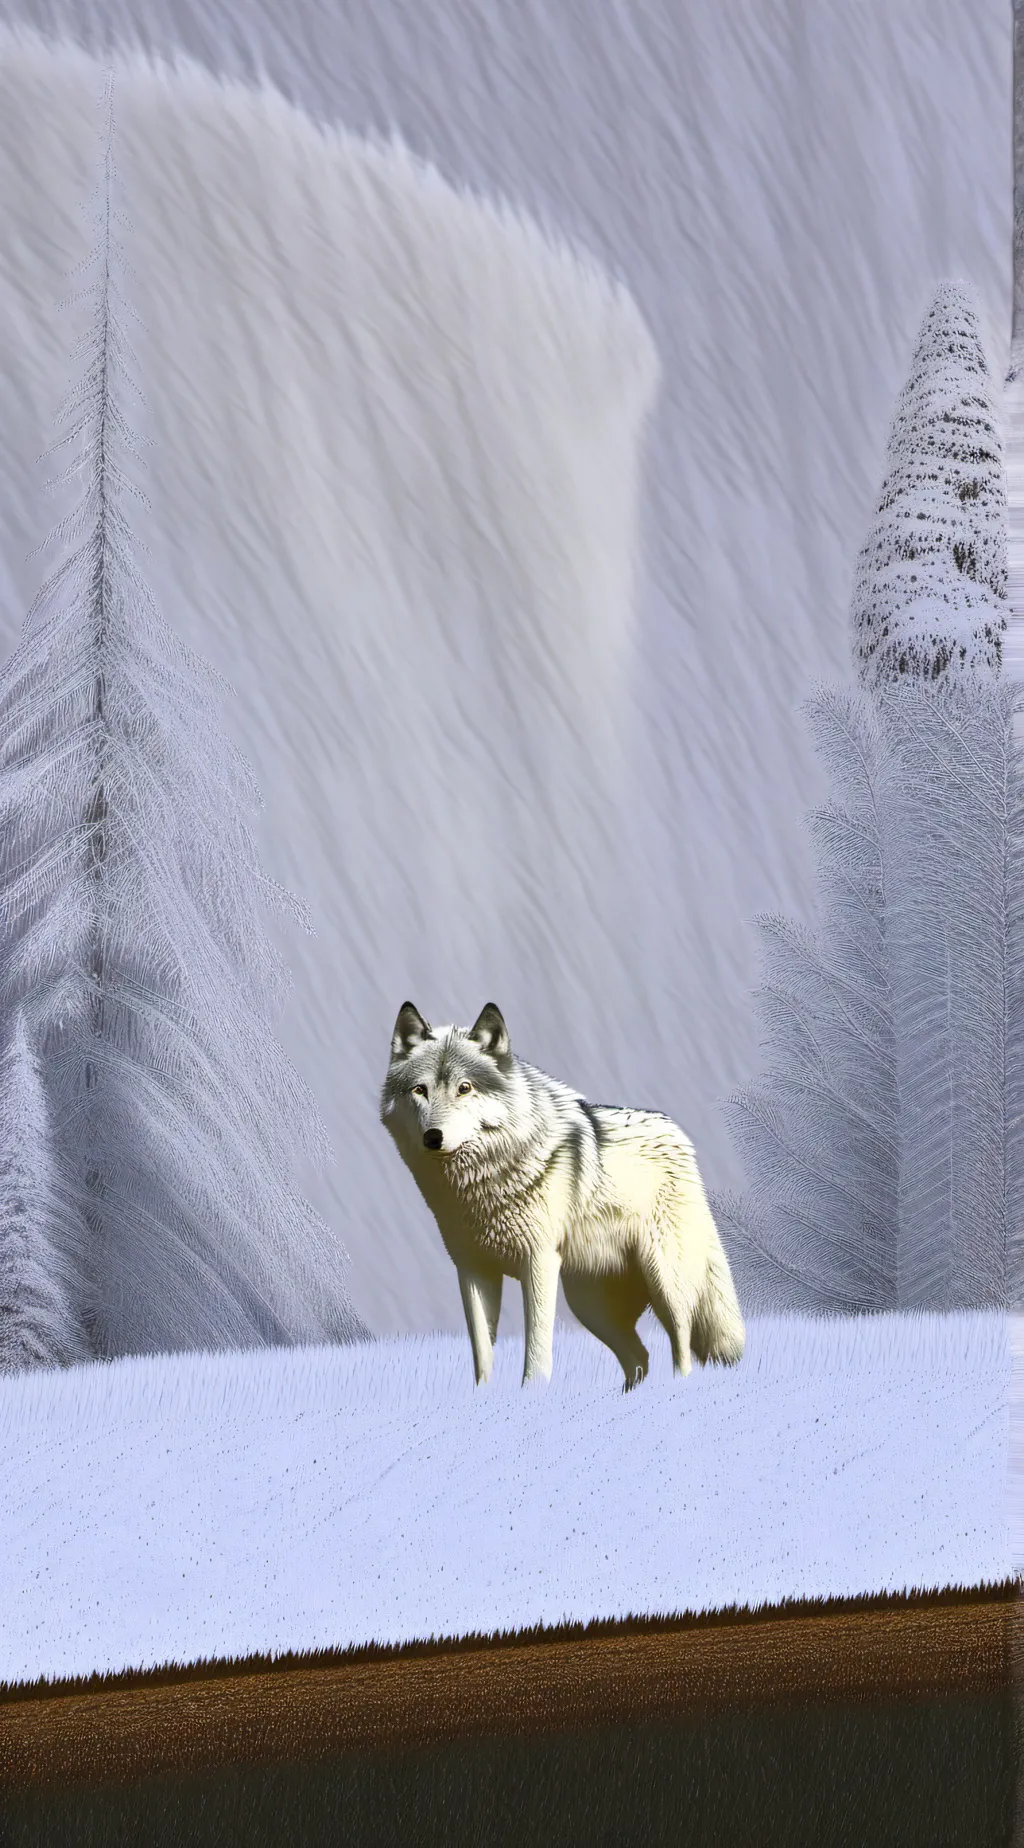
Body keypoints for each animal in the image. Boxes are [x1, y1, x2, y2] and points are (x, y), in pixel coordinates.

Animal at [380, 1002, 745, 1390]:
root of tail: (679, 1135)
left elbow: (537, 1351)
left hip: (664, 1281)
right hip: (590, 1304)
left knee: (682, 1344)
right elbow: (482, 1354)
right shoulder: (473, 1270)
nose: (432, 1137)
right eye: (420, 1090)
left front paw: (533, 1396)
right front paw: (483, 1398)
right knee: (640, 1356)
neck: (480, 1184)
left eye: (464, 1088)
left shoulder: (538, 1263)